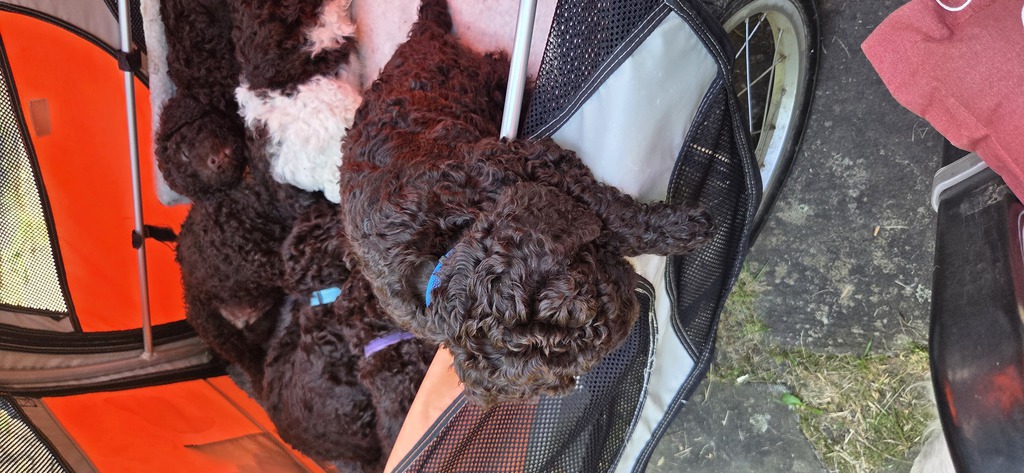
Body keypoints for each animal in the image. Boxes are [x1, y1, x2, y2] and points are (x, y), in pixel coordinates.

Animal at [339, 0, 714, 406]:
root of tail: (420, 36)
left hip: (485, 75)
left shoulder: (528, 164)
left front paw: (684, 229)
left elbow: (615, 214)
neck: (443, 250)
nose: (628, 315)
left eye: (578, 304)